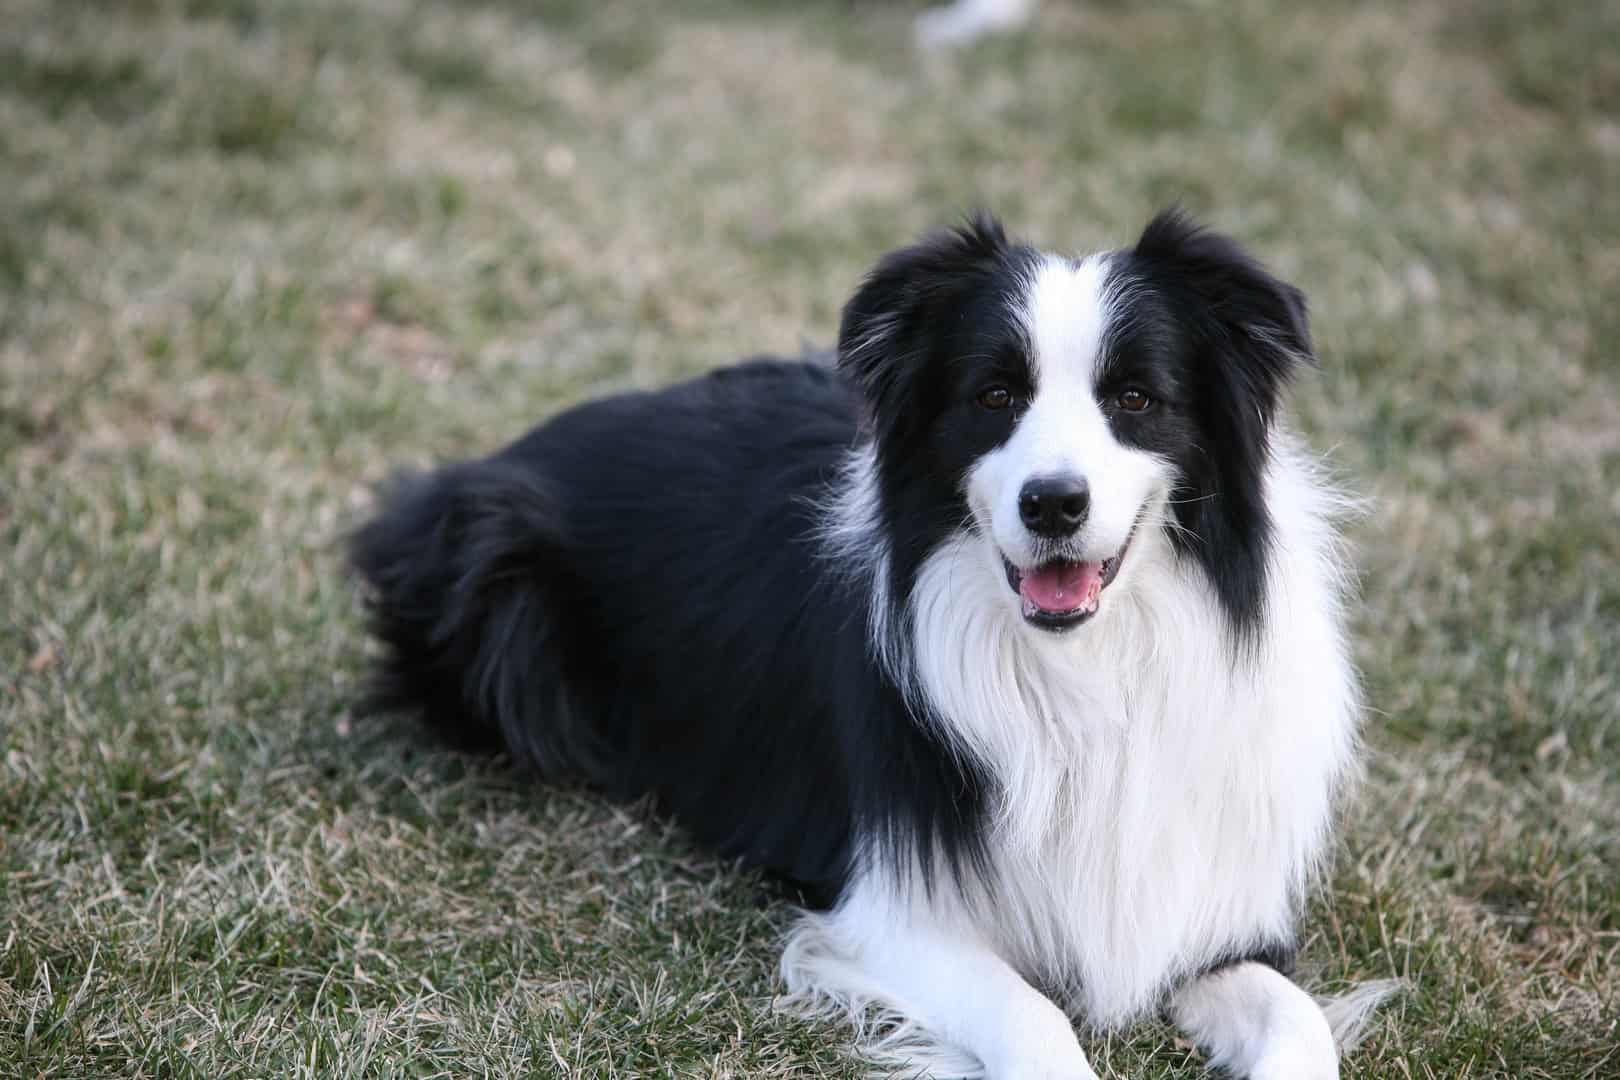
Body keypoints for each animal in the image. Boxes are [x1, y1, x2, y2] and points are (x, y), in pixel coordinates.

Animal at [354, 210, 1380, 1080]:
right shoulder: (890, 912)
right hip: (494, 580)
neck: (1089, 665)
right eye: (994, 395)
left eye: (1136, 398)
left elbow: (1298, 1018)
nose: (1052, 504)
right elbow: (1034, 1017)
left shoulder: (1205, 908)